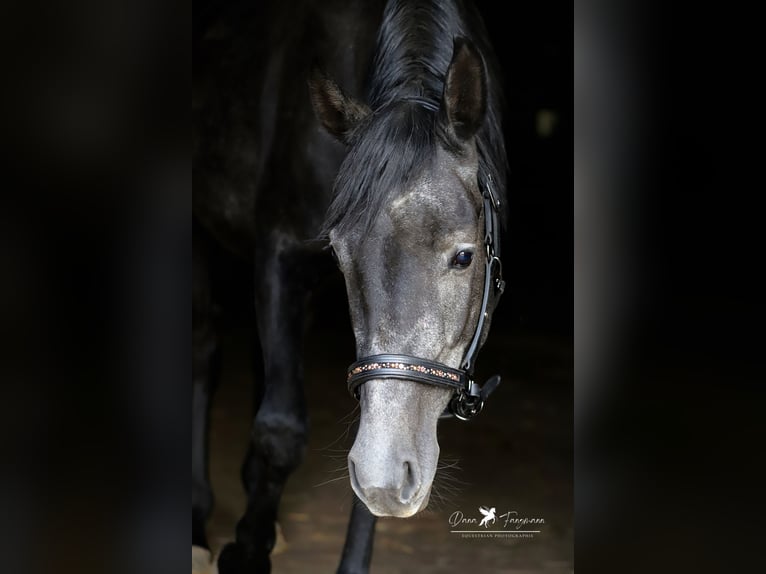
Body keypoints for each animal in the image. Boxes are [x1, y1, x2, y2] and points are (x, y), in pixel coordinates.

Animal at [194, 2, 510, 572]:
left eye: (464, 257)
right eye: (340, 257)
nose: (384, 476)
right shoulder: (278, 253)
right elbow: (280, 430)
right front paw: (246, 551)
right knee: (205, 350)